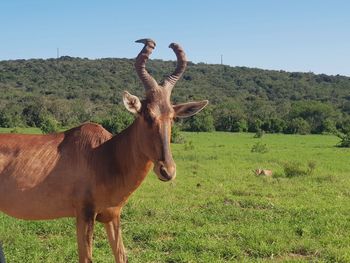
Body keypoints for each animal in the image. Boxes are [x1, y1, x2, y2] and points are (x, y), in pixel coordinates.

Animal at [0, 39, 208, 263]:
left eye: (173, 117)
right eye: (147, 114)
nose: (167, 171)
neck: (104, 153)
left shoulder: (112, 216)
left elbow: (121, 256)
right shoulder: (84, 214)